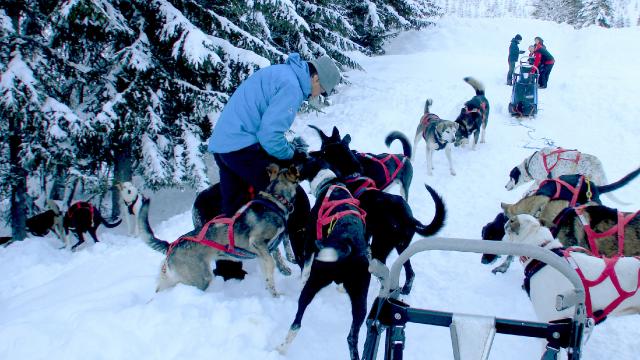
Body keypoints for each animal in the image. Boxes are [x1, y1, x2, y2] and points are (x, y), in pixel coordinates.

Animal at [278, 155, 370, 360]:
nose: (291, 166)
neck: (330, 183)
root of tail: (348, 244)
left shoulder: (310, 242)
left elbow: (305, 268)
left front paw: (300, 279)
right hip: (361, 301)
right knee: (351, 338)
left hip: (315, 281)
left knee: (297, 321)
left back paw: (282, 348)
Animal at [308, 125, 444, 294]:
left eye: (324, 151)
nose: (311, 154)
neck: (353, 175)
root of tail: (409, 218)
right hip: (401, 247)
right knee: (410, 272)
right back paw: (405, 289)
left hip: (382, 245)